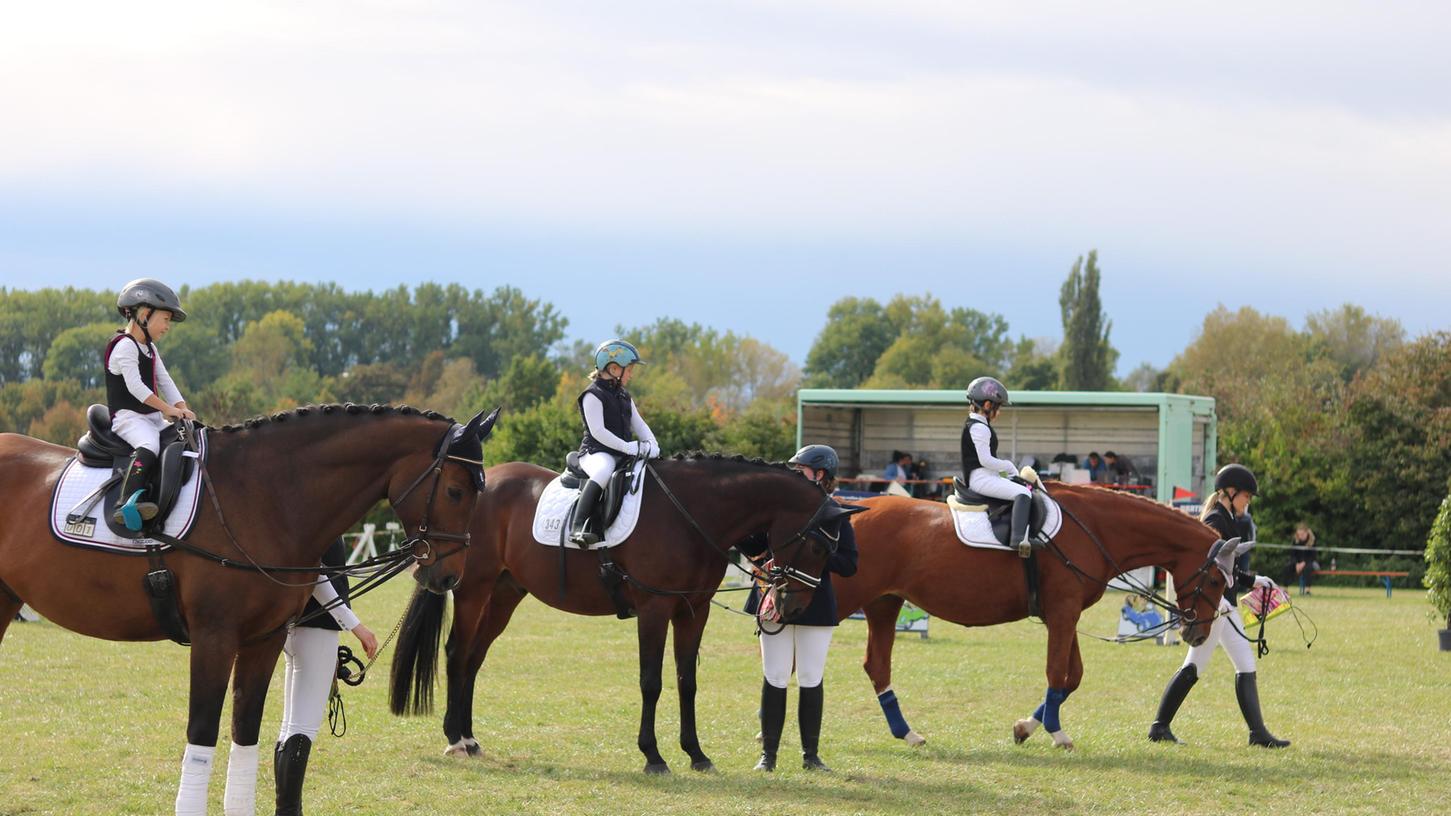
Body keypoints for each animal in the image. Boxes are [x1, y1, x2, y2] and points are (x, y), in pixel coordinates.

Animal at [0, 403, 499, 807]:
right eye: (456, 490)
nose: (448, 577)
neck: (261, 496)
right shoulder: (214, 639)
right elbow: (202, 736)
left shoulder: (264, 640)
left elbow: (248, 734)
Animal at [391, 453, 853, 772]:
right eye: (817, 545)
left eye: (833, 549)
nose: (794, 605)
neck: (692, 514)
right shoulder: (654, 609)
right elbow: (652, 682)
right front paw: (653, 756)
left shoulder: (694, 611)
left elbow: (687, 682)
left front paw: (696, 754)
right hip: (473, 590)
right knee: (456, 653)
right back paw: (455, 737)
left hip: (505, 594)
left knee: (473, 659)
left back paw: (470, 738)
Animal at [835, 482, 1230, 749]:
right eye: (1214, 579)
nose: (1198, 634)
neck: (1094, 529)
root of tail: (848, 508)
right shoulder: (1062, 613)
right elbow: (1057, 673)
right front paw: (1057, 733)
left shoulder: (1066, 614)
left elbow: (1072, 677)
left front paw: (1025, 727)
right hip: (846, 599)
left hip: (885, 603)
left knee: (877, 666)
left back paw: (908, 733)